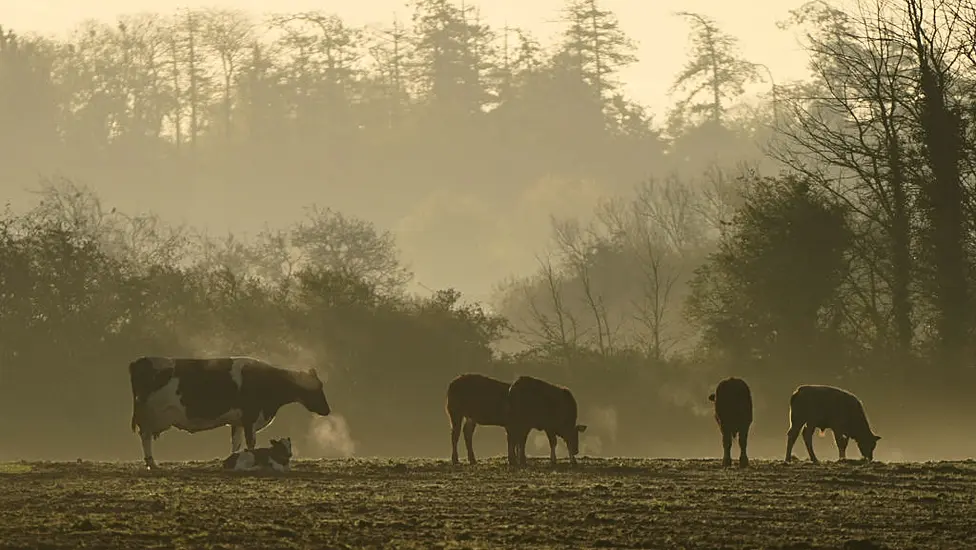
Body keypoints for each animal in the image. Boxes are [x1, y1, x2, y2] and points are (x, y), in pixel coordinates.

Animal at [129, 360, 332, 472]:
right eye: (317, 388)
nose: (327, 410)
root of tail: (140, 361)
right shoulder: (250, 418)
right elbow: (251, 443)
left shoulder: (238, 422)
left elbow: (236, 443)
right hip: (148, 416)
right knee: (145, 437)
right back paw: (152, 464)